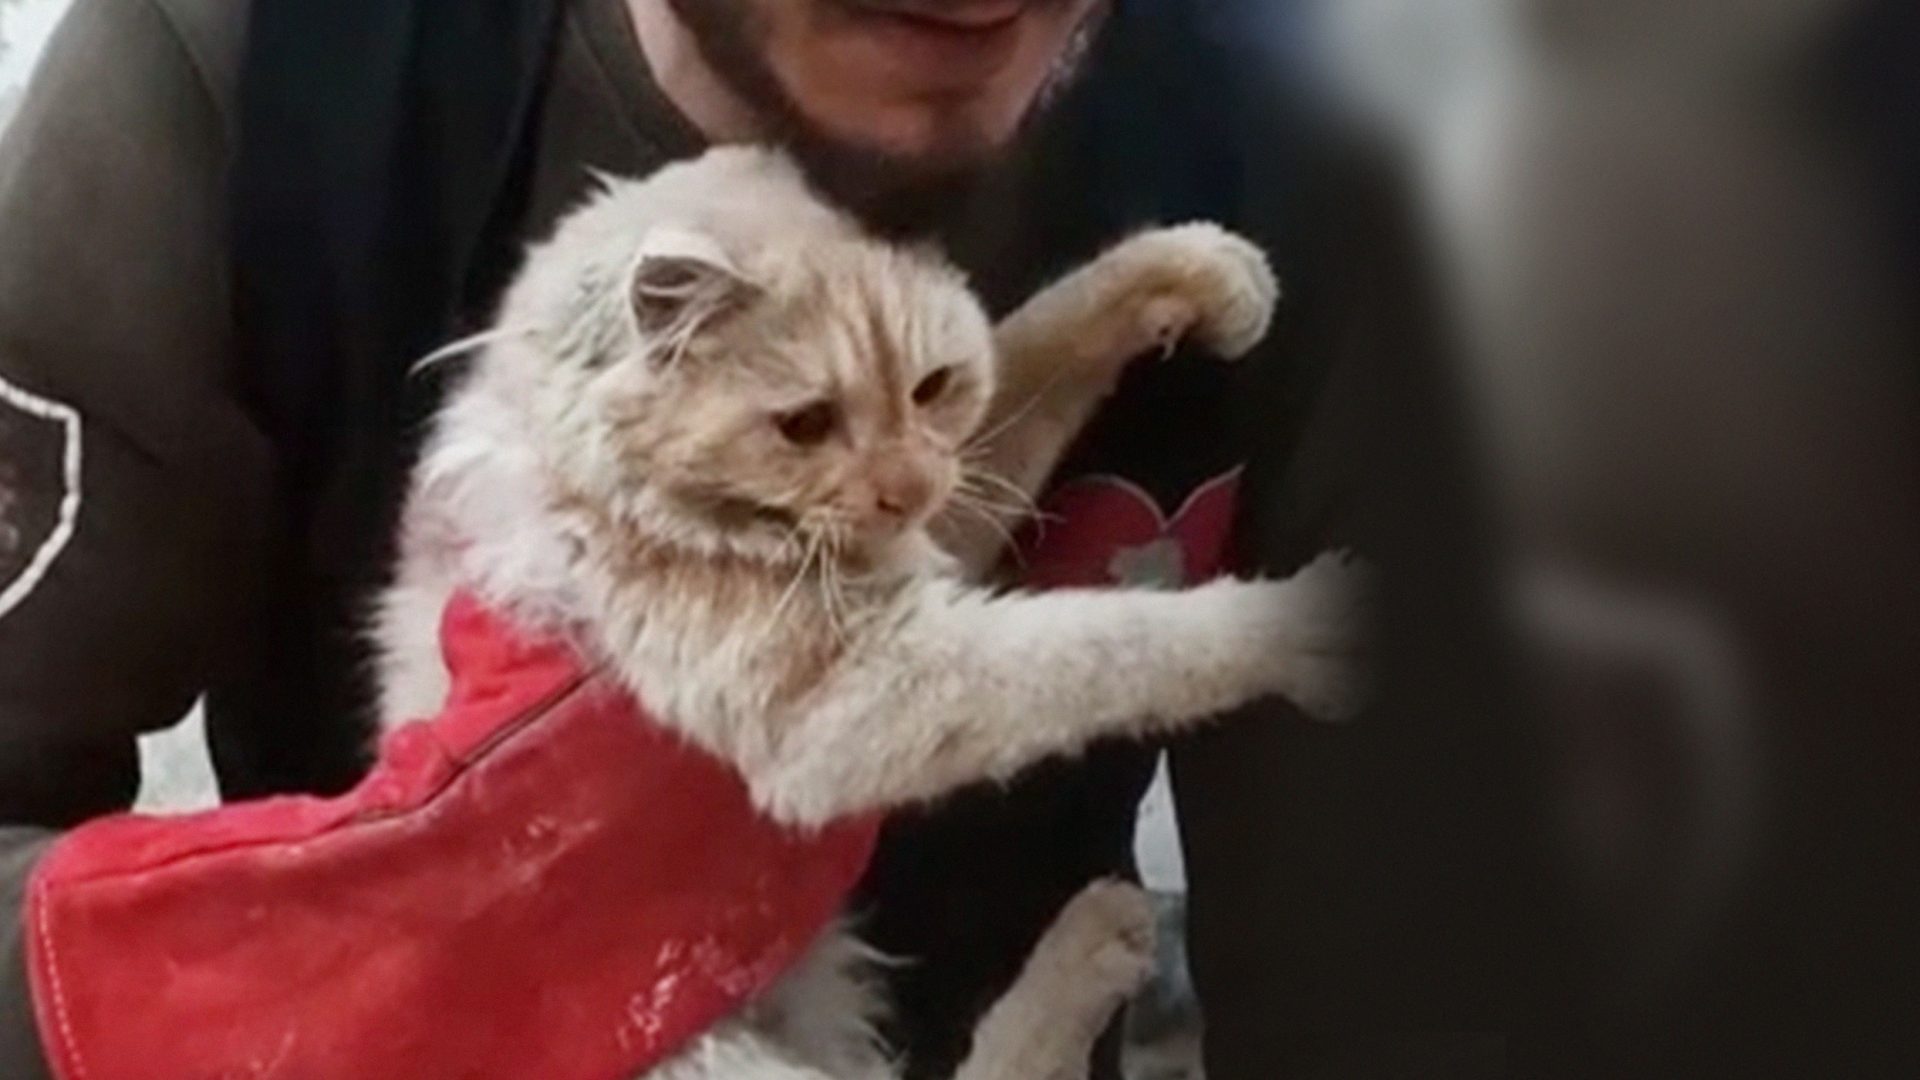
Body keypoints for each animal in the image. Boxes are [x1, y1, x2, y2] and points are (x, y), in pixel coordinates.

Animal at [378, 145, 1367, 1076]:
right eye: (805, 424)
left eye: (931, 387)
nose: (909, 488)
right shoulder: (859, 691)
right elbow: (1119, 643)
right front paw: (1308, 624)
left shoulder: (941, 519)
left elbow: (1048, 332)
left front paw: (1201, 269)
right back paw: (1102, 938)